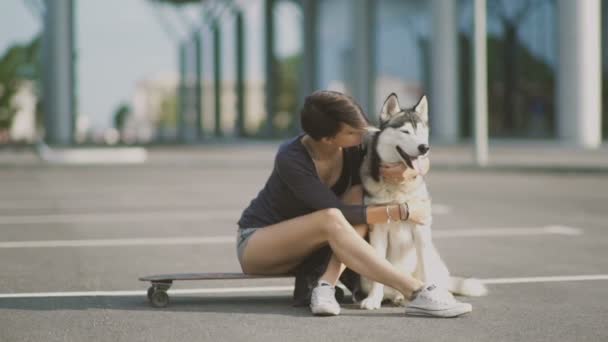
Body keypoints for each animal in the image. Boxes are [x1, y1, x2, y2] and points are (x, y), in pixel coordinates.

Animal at [358, 93, 486, 310]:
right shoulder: (378, 230)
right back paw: (396, 297)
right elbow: (378, 271)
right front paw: (373, 299)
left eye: (421, 132)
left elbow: (426, 272)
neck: (398, 187)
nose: (424, 147)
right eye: (405, 131)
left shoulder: (420, 229)